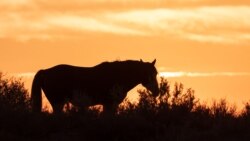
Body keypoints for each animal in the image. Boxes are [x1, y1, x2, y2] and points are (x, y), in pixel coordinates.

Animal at [31, 59, 159, 114]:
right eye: (149, 74)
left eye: (156, 73)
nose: (157, 92)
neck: (118, 75)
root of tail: (45, 71)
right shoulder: (108, 104)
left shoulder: (112, 105)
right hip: (58, 103)